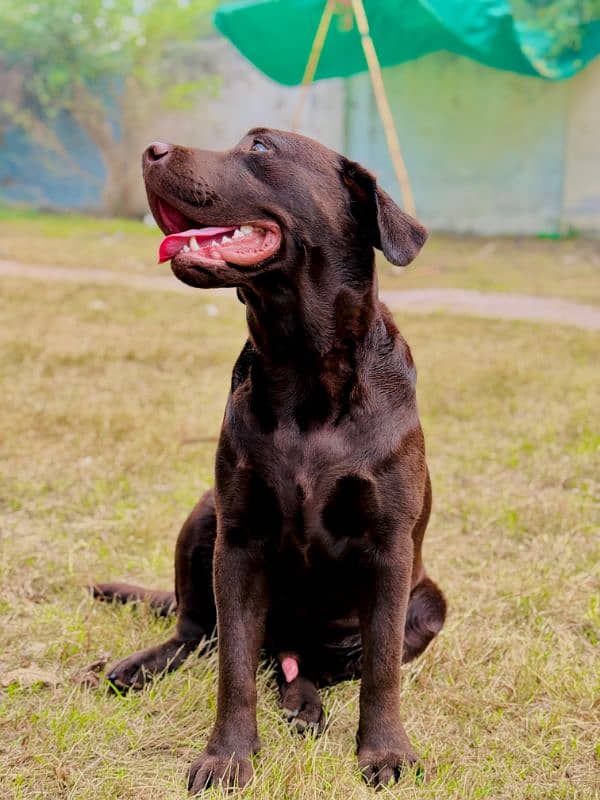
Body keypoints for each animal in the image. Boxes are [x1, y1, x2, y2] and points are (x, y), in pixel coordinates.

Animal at [94, 128, 448, 792]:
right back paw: (135, 667)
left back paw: (303, 704)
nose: (152, 149)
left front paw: (386, 752)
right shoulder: (238, 538)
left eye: (260, 148)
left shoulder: (389, 547)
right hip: (202, 516)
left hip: (429, 603)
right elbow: (233, 665)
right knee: (197, 634)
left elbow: (382, 668)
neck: (300, 366)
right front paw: (227, 756)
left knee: (312, 664)